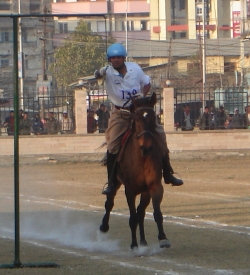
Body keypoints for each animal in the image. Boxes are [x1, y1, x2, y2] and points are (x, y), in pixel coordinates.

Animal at [100, 92, 171, 250]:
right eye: (137, 119)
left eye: (154, 117)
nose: (146, 147)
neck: (141, 158)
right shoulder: (130, 190)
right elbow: (132, 218)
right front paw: (133, 245)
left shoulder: (154, 187)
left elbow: (156, 213)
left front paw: (163, 238)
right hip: (115, 182)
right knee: (109, 203)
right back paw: (103, 227)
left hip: (145, 192)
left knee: (141, 212)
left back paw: (143, 241)